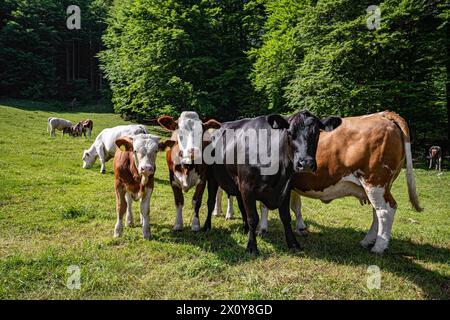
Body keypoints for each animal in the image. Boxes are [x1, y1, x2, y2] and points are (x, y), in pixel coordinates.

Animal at [204, 111, 342, 254]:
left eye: (316, 133)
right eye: (290, 133)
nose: (306, 163)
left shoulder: (285, 187)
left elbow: (286, 217)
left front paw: (293, 243)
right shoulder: (247, 187)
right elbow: (253, 218)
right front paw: (252, 246)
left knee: (241, 205)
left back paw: (245, 228)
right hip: (212, 177)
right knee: (211, 202)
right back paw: (207, 226)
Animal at [256, 111, 422, 254]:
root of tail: (383, 114)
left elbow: (264, 205)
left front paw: (262, 229)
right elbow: (296, 205)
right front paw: (301, 227)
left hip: (375, 182)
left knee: (385, 210)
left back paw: (379, 247)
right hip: (381, 187)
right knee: (377, 211)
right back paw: (367, 241)